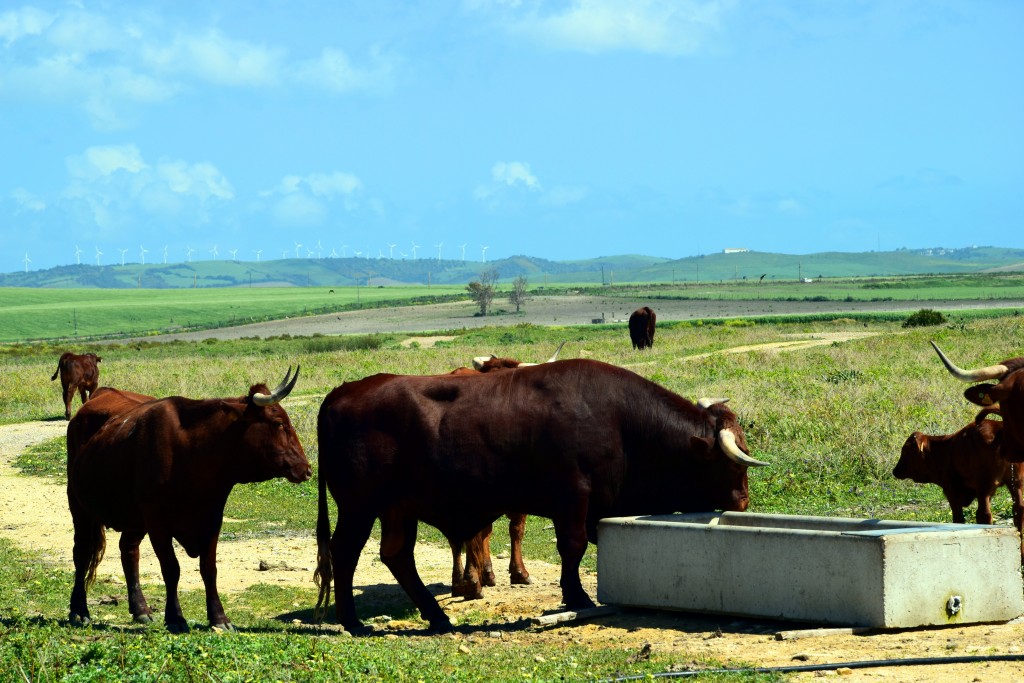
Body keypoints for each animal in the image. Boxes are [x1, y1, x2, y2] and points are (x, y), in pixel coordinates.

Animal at [66, 370, 309, 634]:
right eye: (279, 423)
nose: (306, 468)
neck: (192, 450)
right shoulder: (158, 523)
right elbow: (171, 569)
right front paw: (175, 618)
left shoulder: (211, 519)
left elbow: (209, 569)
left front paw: (219, 618)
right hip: (79, 506)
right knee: (81, 553)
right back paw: (79, 611)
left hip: (135, 519)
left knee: (129, 551)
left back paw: (141, 610)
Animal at [311, 360, 770, 634]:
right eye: (734, 463)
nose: (743, 503)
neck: (623, 422)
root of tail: (343, 391)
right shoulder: (573, 499)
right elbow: (573, 548)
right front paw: (577, 596)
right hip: (359, 507)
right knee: (346, 553)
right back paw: (353, 622)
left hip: (396, 509)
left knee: (397, 556)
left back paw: (438, 617)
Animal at [892, 417, 1019, 561]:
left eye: (905, 451)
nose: (895, 471)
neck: (944, 451)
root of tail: (998, 426)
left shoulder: (951, 491)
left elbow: (958, 518)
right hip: (1015, 484)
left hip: (984, 486)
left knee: (985, 514)